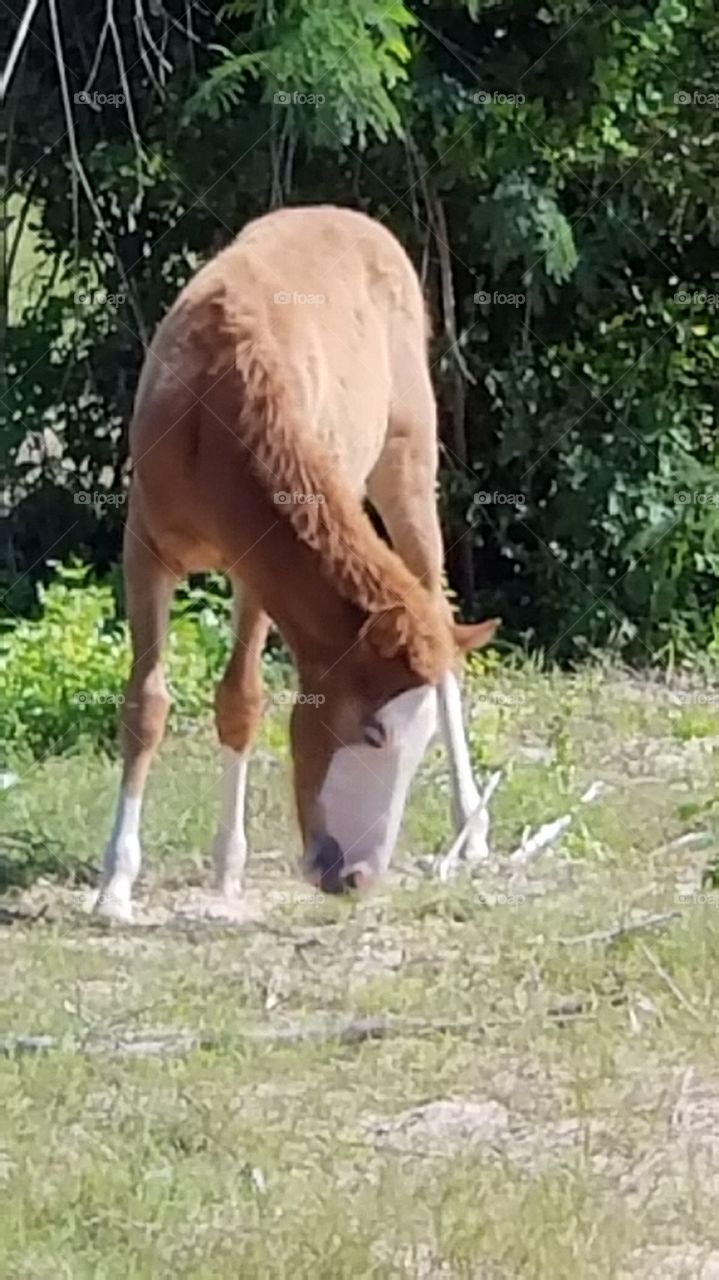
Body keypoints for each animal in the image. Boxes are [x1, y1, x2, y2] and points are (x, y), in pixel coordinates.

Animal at [97, 205, 498, 921]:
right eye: (373, 733)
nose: (356, 875)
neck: (219, 407)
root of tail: (356, 220)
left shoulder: (257, 572)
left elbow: (241, 699)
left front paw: (228, 865)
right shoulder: (144, 549)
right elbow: (146, 703)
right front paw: (116, 884)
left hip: (407, 466)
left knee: (436, 603)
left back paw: (470, 825)